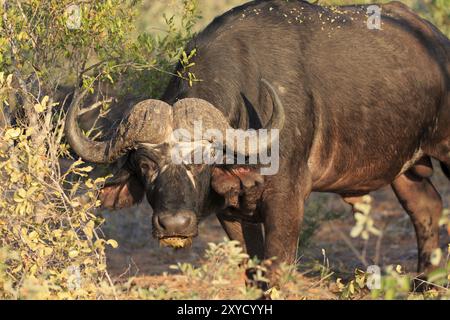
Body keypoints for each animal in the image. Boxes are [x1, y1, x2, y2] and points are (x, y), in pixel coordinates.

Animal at [66, 0, 450, 284]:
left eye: (202, 160)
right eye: (146, 164)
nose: (174, 224)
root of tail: (438, 42)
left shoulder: (287, 201)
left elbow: (276, 271)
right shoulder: (232, 213)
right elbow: (253, 269)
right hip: (405, 170)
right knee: (426, 207)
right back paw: (423, 284)